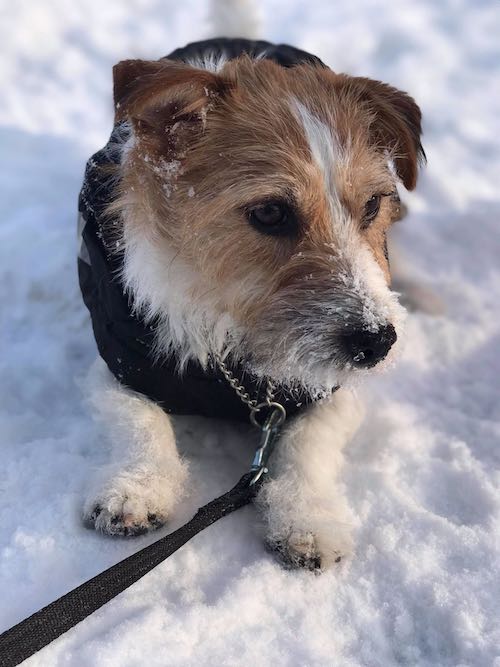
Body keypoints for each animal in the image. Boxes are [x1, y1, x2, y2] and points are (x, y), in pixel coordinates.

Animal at [77, 34, 422, 572]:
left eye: (371, 205)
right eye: (270, 213)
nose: (378, 343)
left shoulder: (336, 391)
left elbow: (308, 443)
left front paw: (307, 518)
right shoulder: (118, 362)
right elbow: (139, 421)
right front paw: (138, 488)